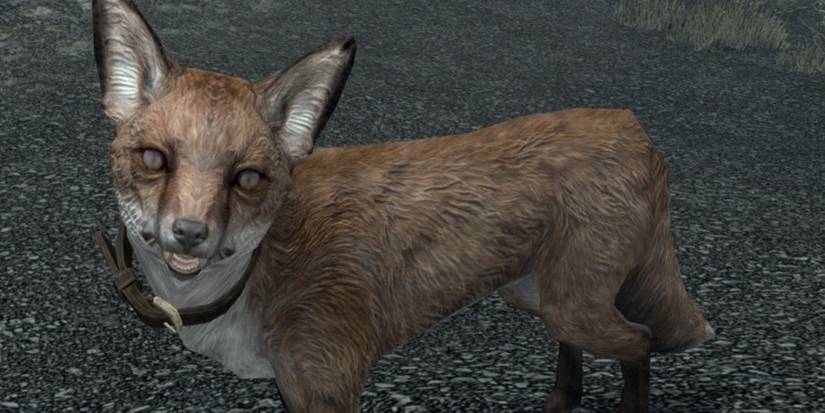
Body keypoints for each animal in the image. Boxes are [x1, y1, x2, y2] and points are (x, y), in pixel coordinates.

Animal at [92, 0, 714, 412]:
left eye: (246, 178)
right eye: (154, 159)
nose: (189, 232)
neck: (255, 279)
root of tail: (631, 125)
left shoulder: (327, 382)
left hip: (573, 304)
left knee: (639, 340)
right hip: (539, 296)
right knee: (582, 348)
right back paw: (560, 400)